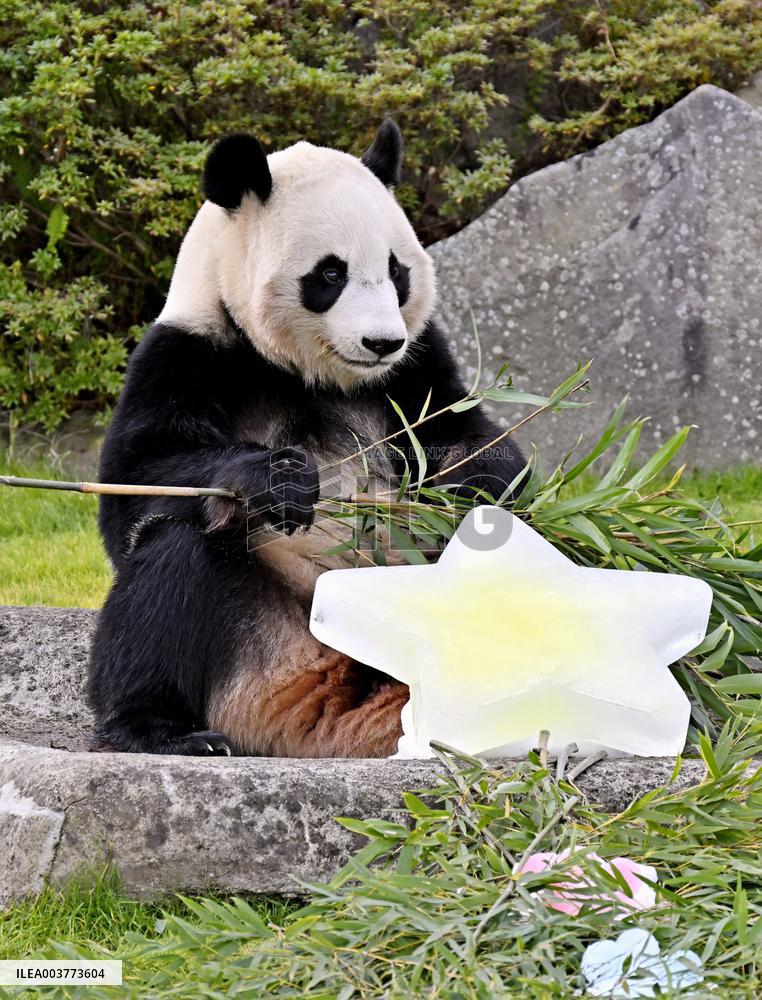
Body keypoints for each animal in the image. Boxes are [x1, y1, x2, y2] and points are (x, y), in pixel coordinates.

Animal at [87, 121, 525, 758]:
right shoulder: (189, 351)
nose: (382, 342)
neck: (314, 373)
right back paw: (163, 732)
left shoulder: (415, 367)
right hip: (257, 643)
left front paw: (481, 480)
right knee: (172, 564)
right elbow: (136, 474)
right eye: (330, 274)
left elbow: (461, 435)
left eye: (397, 270)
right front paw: (280, 479)